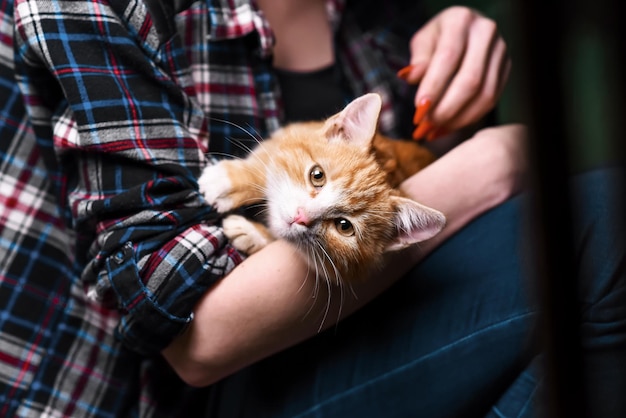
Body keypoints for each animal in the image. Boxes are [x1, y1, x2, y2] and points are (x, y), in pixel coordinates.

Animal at [200, 91, 444, 280]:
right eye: (317, 175)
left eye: (344, 226)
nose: (301, 216)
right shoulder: (294, 130)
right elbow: (271, 155)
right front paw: (228, 181)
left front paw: (254, 233)